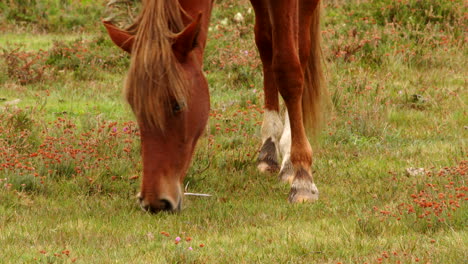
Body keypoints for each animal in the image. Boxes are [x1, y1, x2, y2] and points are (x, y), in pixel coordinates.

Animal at [104, 0, 324, 211]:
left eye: (178, 105)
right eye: (135, 108)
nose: (154, 201)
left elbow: (288, 67)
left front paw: (302, 180)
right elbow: (267, 45)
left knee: (299, 45)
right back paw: (270, 149)